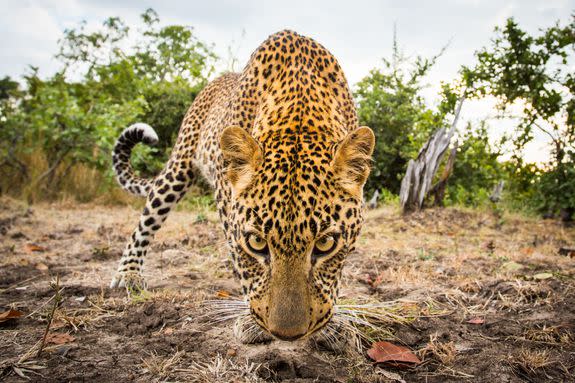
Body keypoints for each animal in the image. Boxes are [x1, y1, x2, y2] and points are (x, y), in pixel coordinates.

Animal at [110, 30, 376, 342]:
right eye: (256, 243)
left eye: (325, 244)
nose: (287, 335)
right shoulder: (227, 199)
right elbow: (241, 263)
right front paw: (250, 321)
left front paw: (334, 326)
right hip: (178, 168)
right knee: (146, 221)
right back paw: (129, 274)